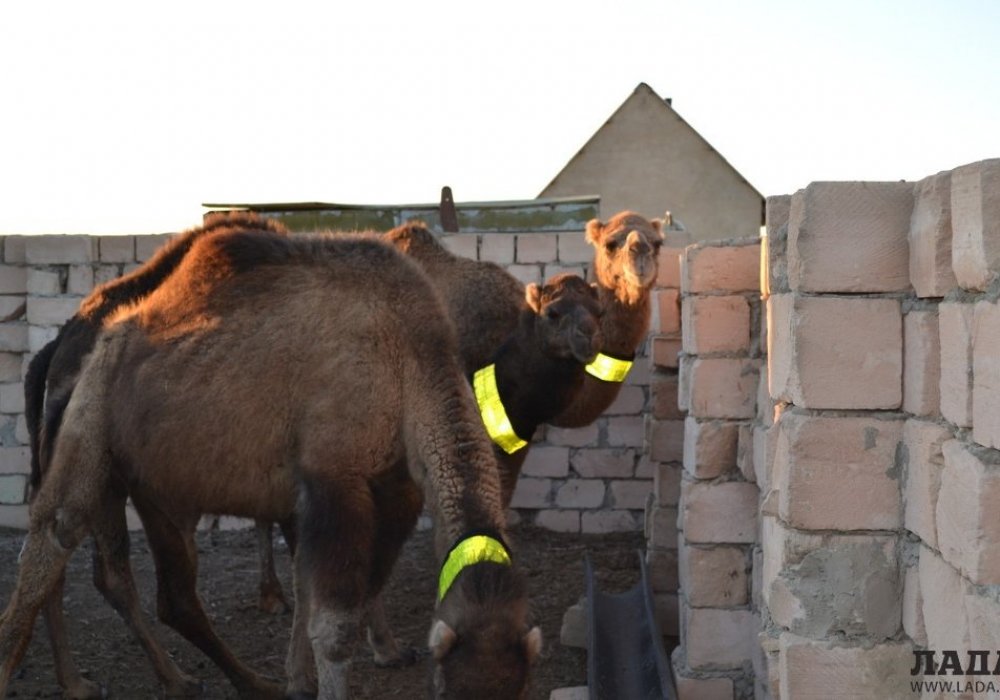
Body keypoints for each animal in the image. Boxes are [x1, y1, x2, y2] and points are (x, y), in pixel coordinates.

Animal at [0, 227, 540, 696]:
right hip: (92, 414)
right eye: (446, 688)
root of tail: (80, 341)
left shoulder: (388, 484)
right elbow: (335, 625)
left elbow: (326, 585)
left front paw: (299, 679)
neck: (410, 360)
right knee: (53, 536)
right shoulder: (334, 476)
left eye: (517, 690)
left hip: (154, 481)